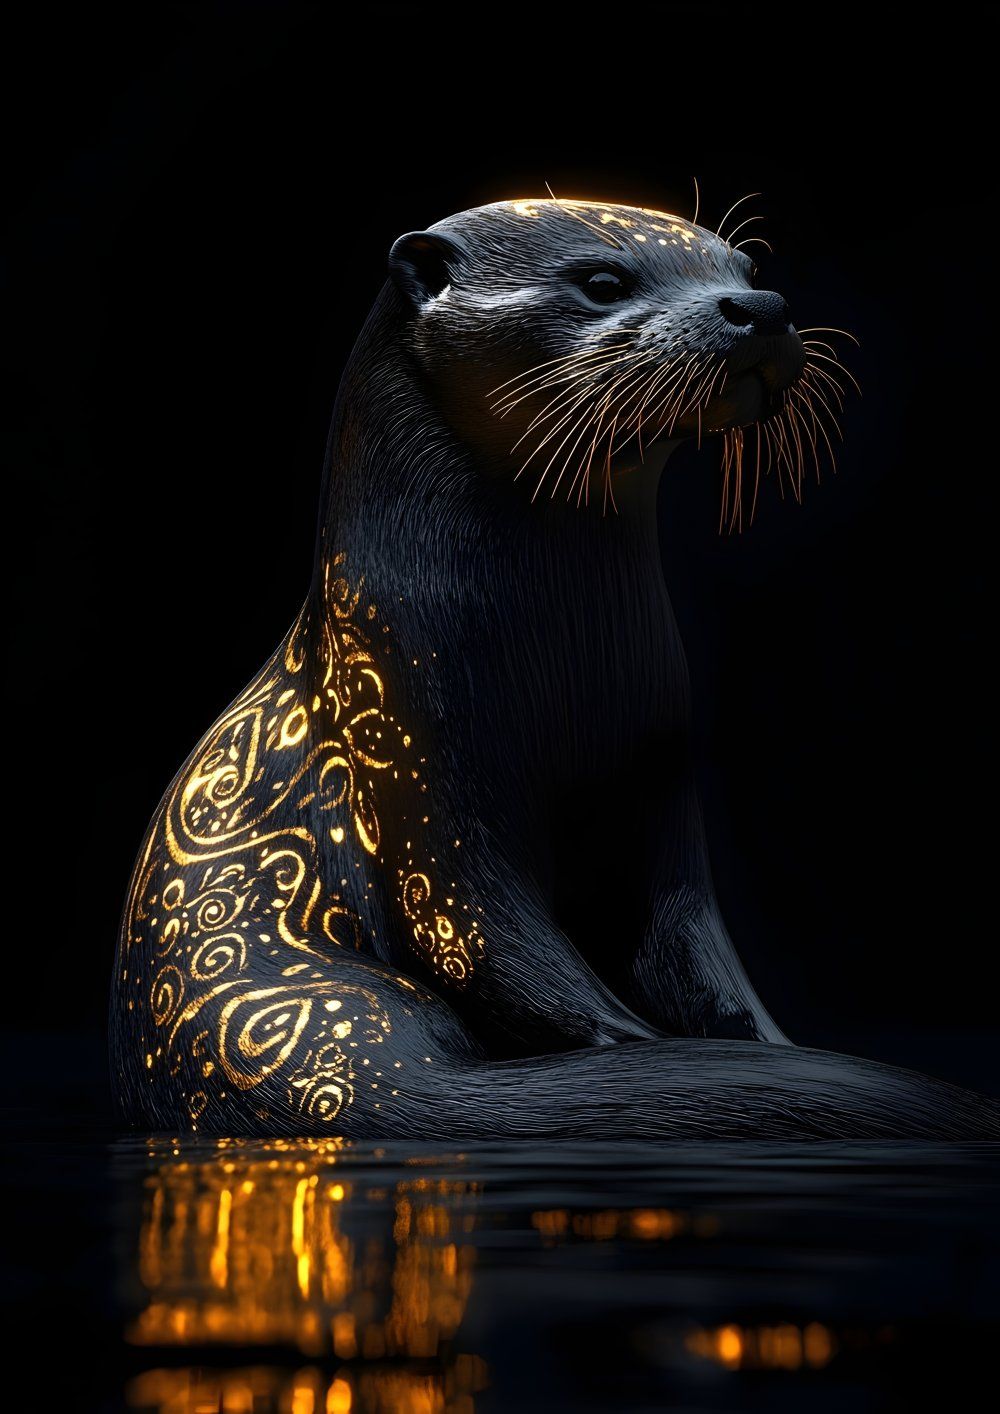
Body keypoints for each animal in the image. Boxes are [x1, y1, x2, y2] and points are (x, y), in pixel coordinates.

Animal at [111, 198, 998, 1138]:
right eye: (601, 280)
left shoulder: (661, 777)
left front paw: (764, 1042)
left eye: (750, 269)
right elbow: (486, 940)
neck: (566, 679)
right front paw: (641, 1049)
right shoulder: (417, 756)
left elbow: (698, 948)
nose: (759, 309)